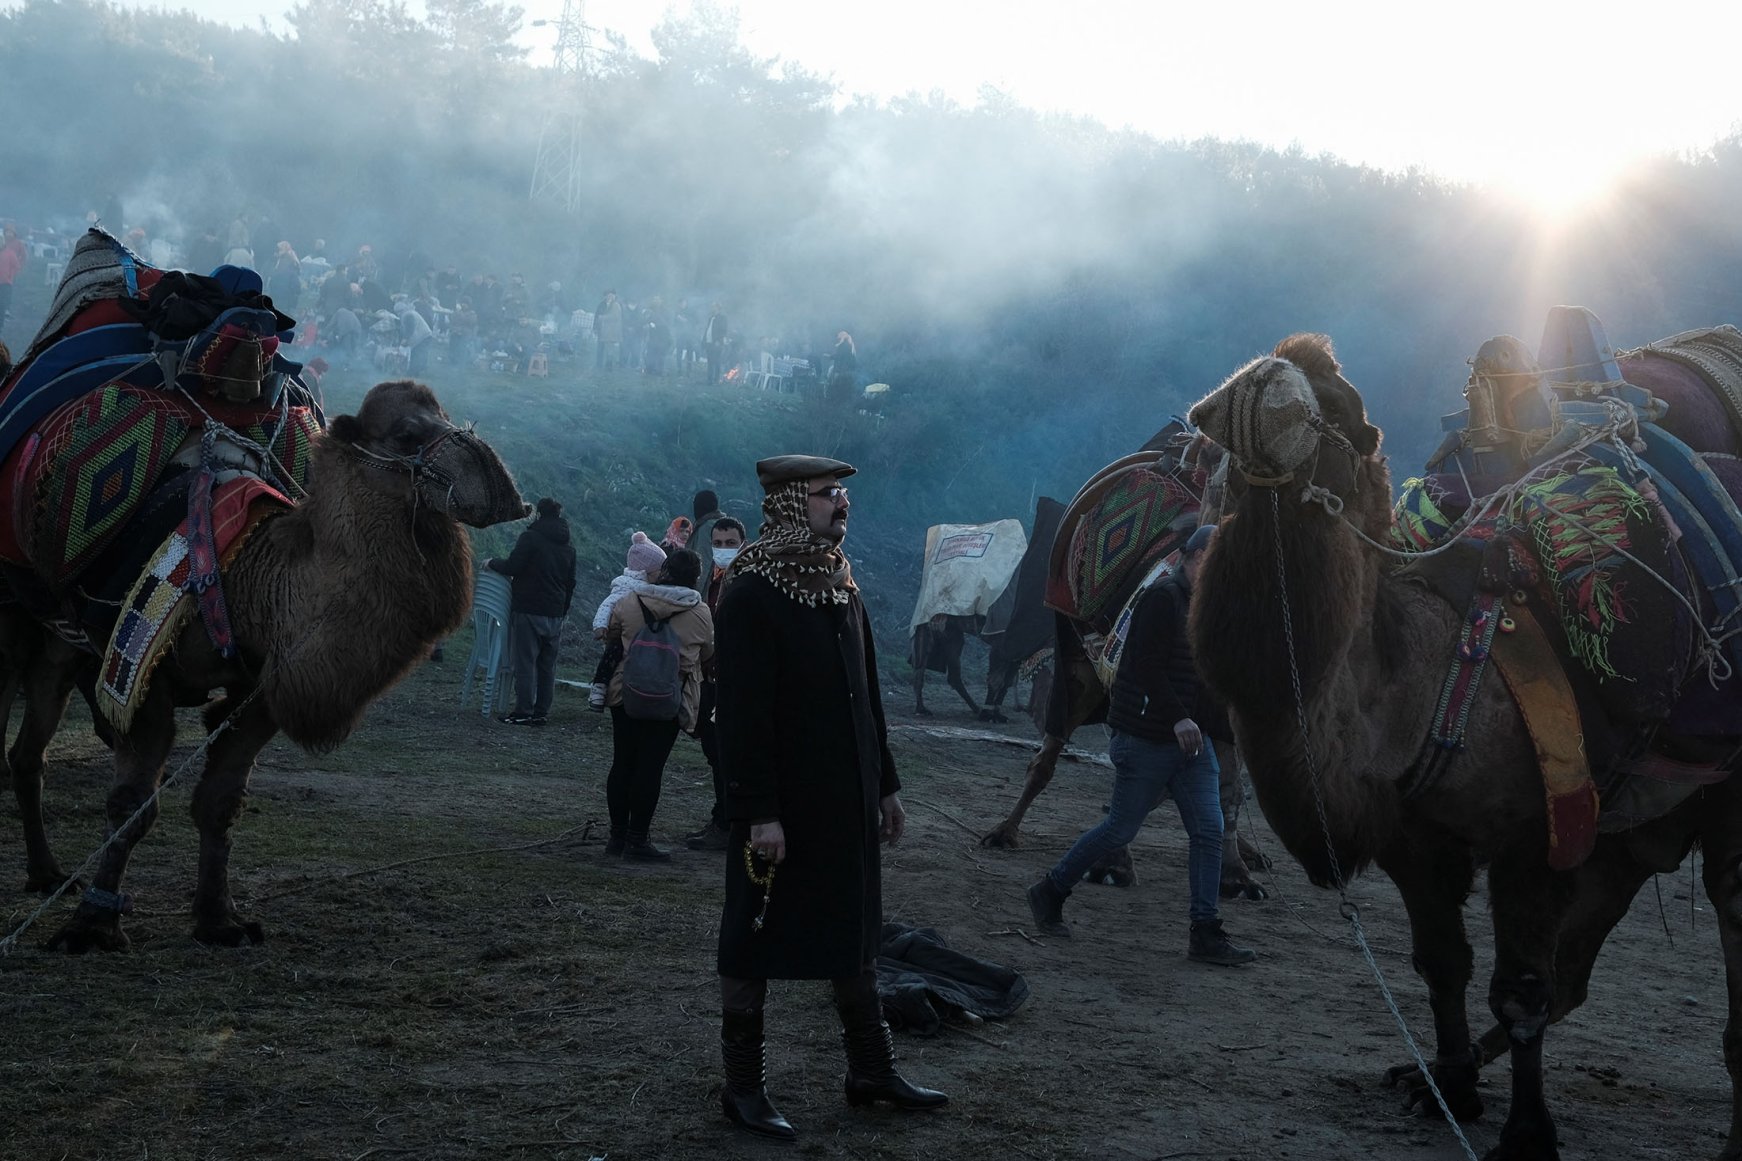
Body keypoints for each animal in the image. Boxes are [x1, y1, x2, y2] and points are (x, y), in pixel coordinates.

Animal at [6, 380, 526, 948]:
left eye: (446, 416)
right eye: (407, 433)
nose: (497, 482)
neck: (246, 585)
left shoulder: (259, 694)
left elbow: (219, 803)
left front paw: (219, 920)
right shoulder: (138, 673)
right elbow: (132, 804)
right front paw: (93, 928)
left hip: (60, 648)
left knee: (28, 753)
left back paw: (46, 874)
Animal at [1191, 332, 1742, 1157]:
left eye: (1345, 411)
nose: (1255, 380)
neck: (1430, 684)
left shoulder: (1538, 835)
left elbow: (1520, 992)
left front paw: (1527, 1133)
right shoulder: (1416, 842)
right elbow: (1441, 965)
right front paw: (1446, 1086)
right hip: (1634, 830)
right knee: (1580, 967)